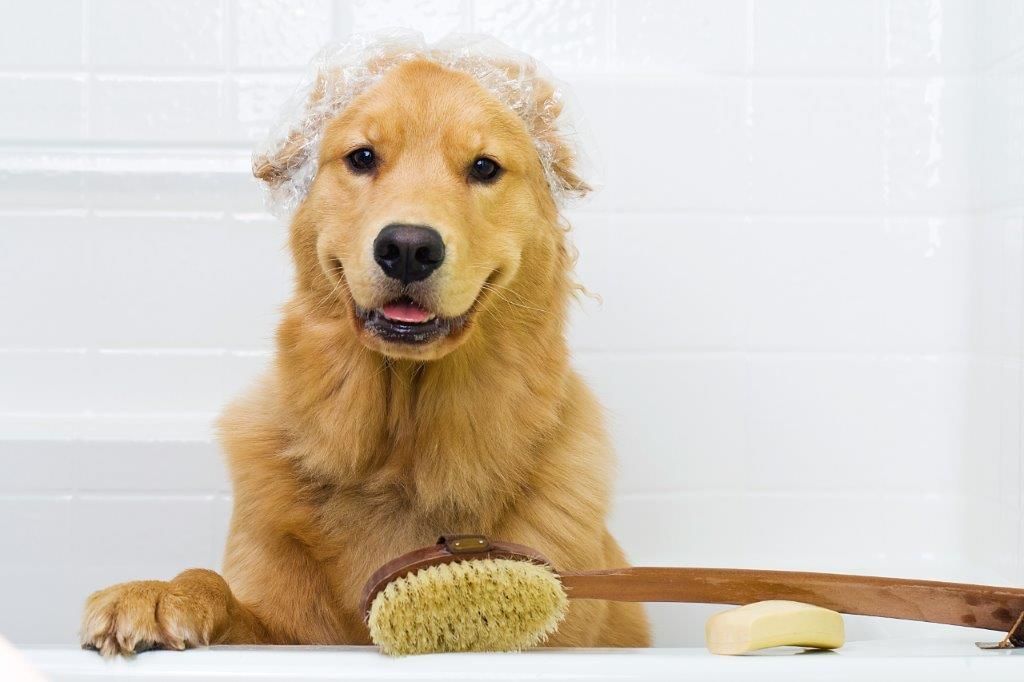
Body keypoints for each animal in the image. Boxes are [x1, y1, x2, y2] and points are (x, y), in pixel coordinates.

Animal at [83, 43, 651, 655]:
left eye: (484, 167)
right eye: (361, 157)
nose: (407, 248)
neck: (400, 459)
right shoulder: (279, 622)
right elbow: (217, 586)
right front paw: (160, 593)